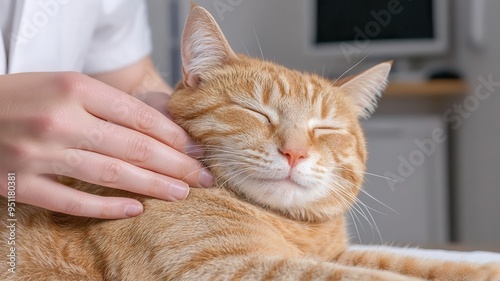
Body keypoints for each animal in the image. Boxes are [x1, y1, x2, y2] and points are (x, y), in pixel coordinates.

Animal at [2, 4, 500, 280]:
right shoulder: (224, 266)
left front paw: (483, 266)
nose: (295, 151)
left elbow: (424, 264)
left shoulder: (337, 253)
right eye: (256, 112)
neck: (293, 228)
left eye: (325, 128)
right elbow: (372, 278)